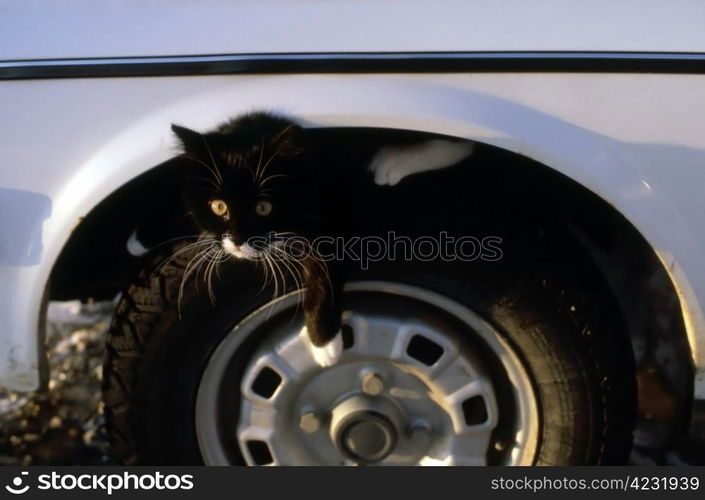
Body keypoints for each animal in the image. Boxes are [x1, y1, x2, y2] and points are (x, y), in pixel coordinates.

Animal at [169, 111, 472, 366]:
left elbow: (324, 270)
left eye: (263, 207)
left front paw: (323, 343)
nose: (237, 240)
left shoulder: (333, 210)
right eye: (218, 206)